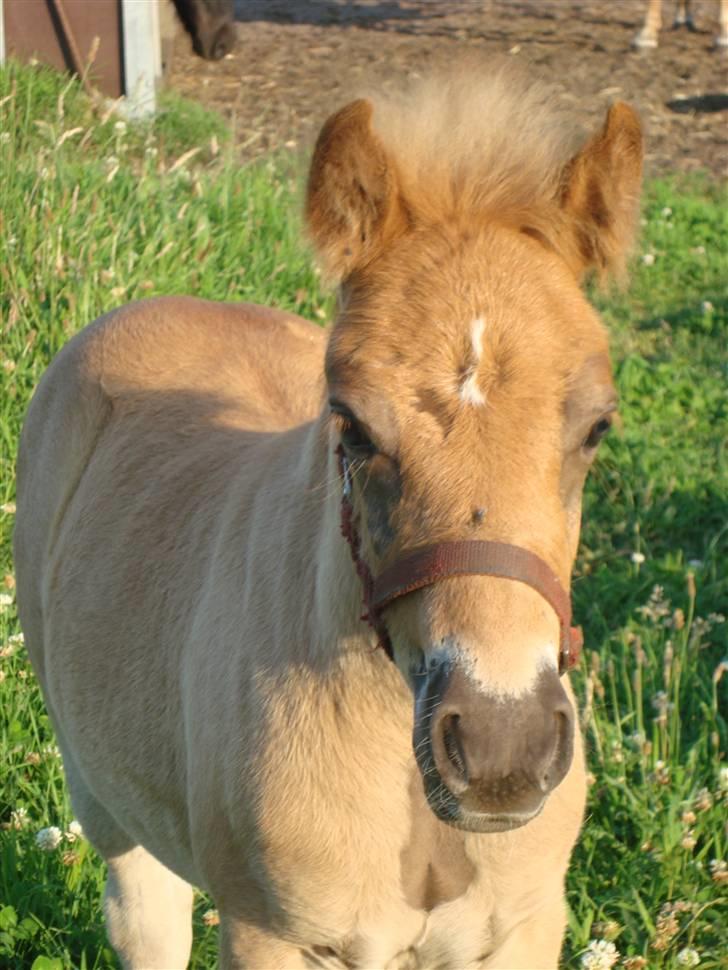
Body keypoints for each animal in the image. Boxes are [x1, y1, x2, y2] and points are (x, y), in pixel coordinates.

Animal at [14, 70, 644, 968]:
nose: (501, 748)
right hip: (103, 799)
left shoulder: (524, 926)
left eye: (596, 427)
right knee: (146, 911)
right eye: (350, 426)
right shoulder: (271, 933)